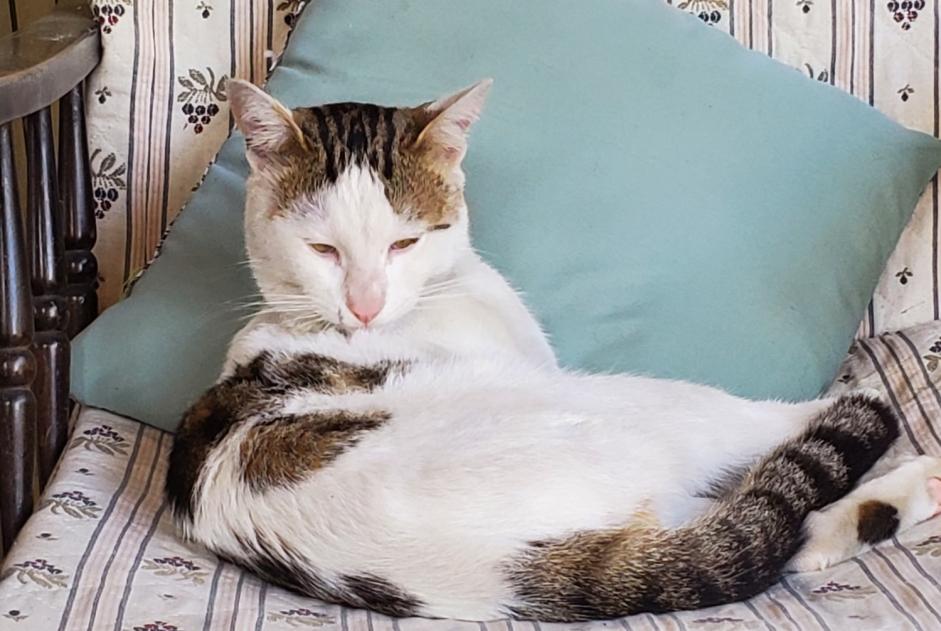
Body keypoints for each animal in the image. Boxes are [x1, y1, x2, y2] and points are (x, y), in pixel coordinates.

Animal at [167, 79, 940, 624]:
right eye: (322, 249)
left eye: (403, 242)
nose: (362, 306)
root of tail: (493, 568)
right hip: (627, 407)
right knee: (786, 478)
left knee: (790, 533)